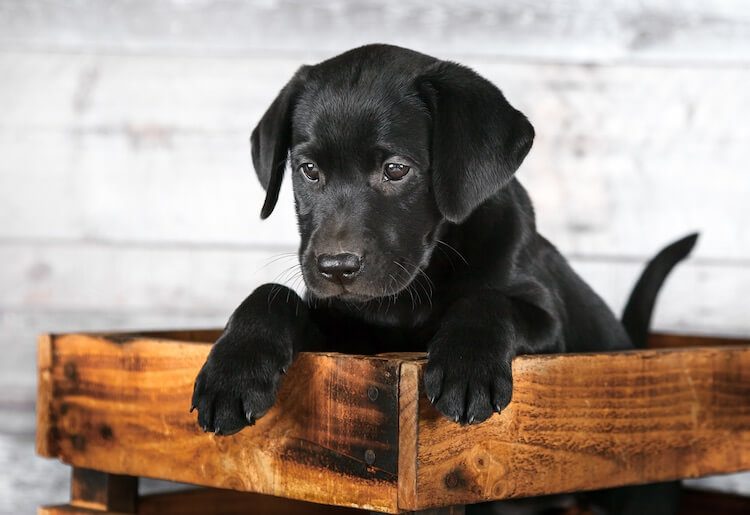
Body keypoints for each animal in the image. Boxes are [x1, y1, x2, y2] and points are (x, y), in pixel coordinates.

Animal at [192, 45, 700, 515]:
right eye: (309, 170)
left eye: (396, 169)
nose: (336, 268)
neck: (415, 287)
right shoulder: (346, 339)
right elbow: (273, 293)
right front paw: (232, 373)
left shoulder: (549, 323)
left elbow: (488, 300)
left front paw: (466, 367)